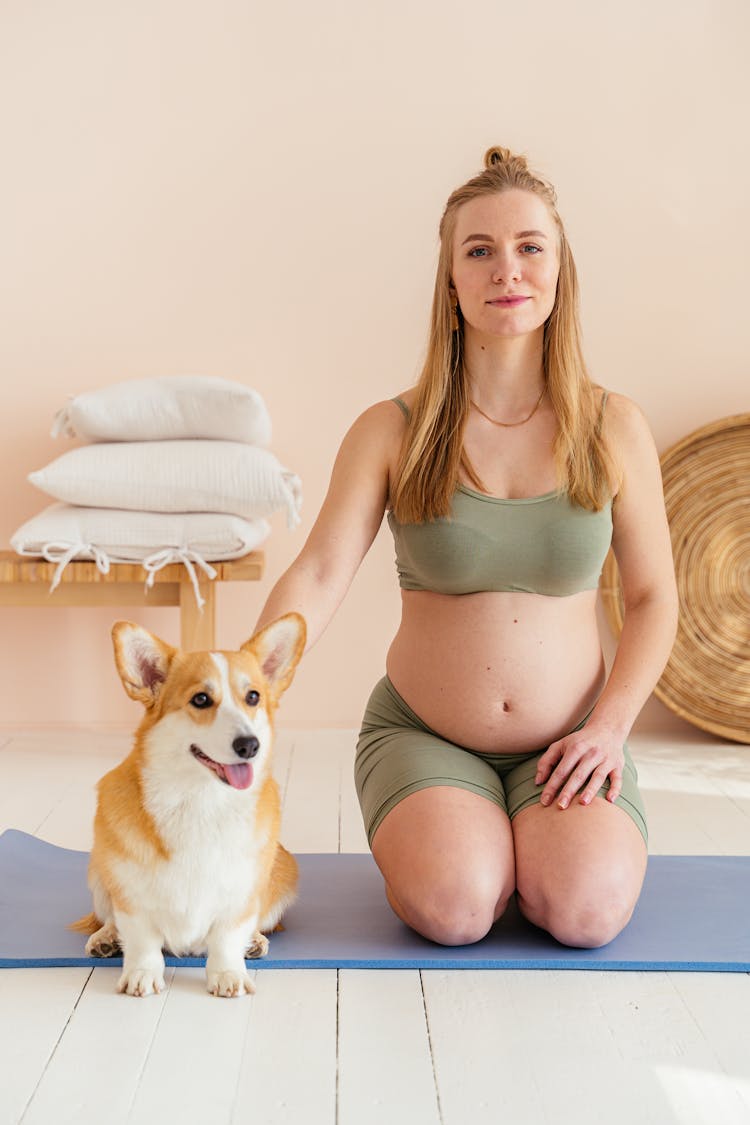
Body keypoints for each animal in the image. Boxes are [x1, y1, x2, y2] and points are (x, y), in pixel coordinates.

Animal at [70, 612, 305, 999]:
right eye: (201, 699)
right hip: (98, 871)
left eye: (253, 696)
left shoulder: (240, 892)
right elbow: (142, 940)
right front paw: (141, 974)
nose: (249, 745)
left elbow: (227, 938)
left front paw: (228, 973)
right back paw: (106, 937)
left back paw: (254, 941)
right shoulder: (130, 892)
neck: (199, 799)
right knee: (108, 917)